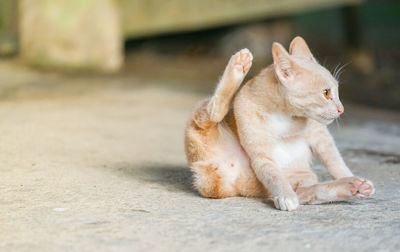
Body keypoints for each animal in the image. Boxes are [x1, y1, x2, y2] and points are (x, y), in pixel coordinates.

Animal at [185, 36, 376, 212]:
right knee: (213, 112)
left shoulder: (320, 136)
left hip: (302, 177)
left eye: (336, 91)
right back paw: (238, 66)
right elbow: (273, 174)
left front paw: (349, 176)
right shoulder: (261, 156)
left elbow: (335, 160)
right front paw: (285, 195)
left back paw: (352, 186)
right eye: (326, 93)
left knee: (312, 191)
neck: (284, 116)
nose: (341, 109)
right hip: (200, 123)